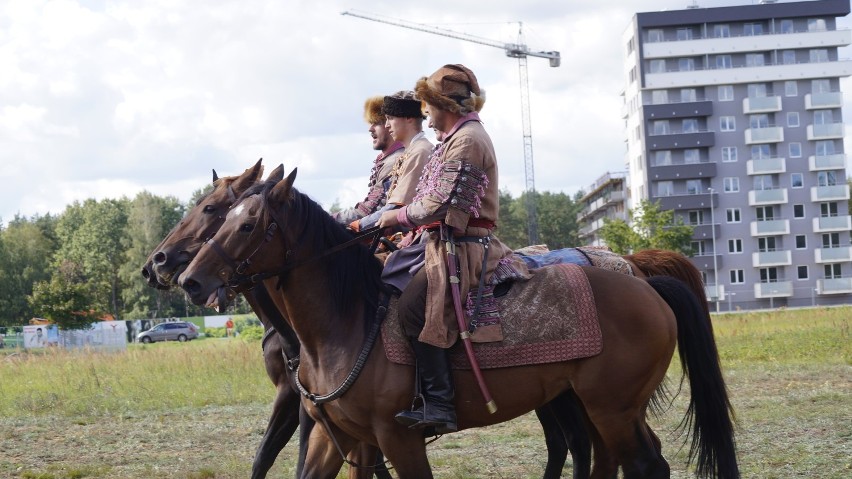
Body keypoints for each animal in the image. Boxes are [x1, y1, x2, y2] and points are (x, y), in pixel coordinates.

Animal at [141, 162, 592, 479]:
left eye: (214, 210)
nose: (166, 268)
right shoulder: (324, 418)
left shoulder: (330, 416)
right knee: (567, 442)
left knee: (576, 441)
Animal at [180, 172, 740, 479]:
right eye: (220, 216)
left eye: (245, 223)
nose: (185, 277)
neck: (344, 323)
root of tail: (644, 283)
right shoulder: (334, 435)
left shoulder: (396, 438)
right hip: (598, 406)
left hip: (612, 408)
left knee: (642, 465)